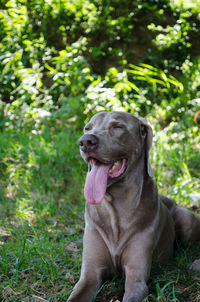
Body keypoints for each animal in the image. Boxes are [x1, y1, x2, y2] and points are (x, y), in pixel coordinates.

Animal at [67, 111, 200, 302]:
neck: (116, 210)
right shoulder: (90, 274)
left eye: (118, 127)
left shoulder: (136, 277)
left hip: (188, 221)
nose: (85, 141)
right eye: (87, 128)